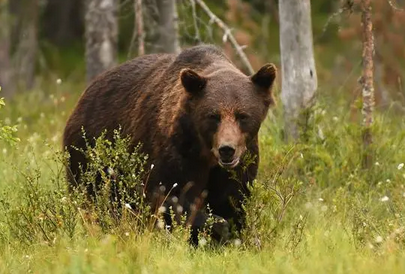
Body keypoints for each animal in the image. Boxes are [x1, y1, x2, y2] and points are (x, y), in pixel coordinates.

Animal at [63, 44, 276, 245]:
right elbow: (169, 198)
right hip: (89, 155)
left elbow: (232, 201)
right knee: (98, 200)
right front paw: (214, 227)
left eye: (243, 116)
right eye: (214, 116)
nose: (227, 150)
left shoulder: (239, 165)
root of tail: (83, 96)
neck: (206, 153)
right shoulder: (175, 151)